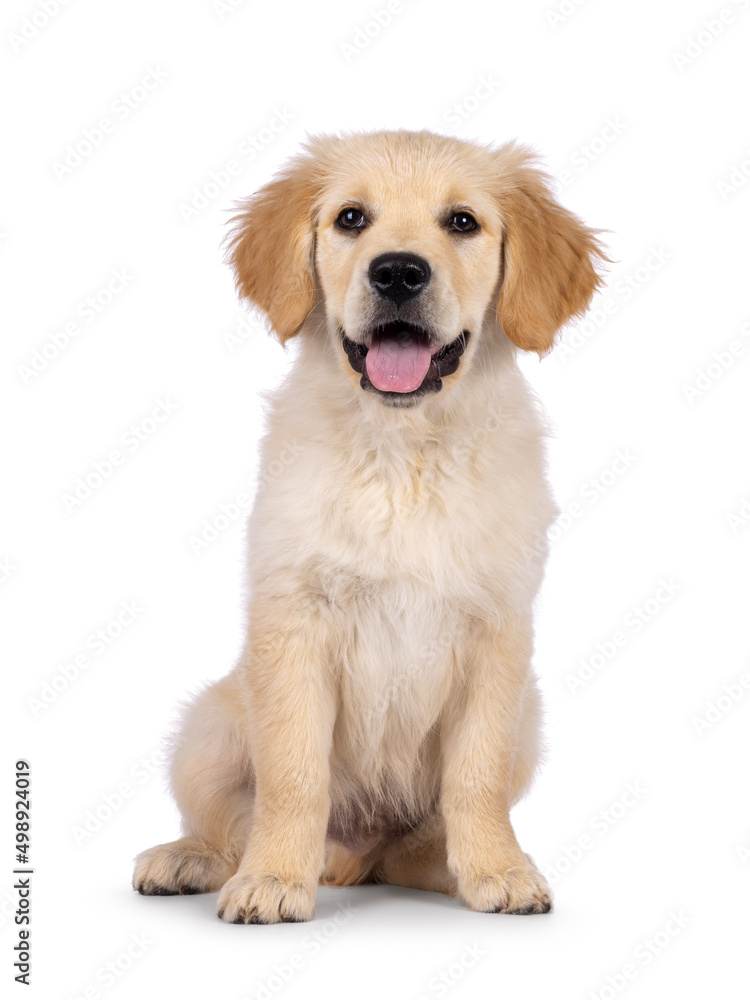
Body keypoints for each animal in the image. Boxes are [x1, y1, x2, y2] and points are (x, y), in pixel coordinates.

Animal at [132, 131, 608, 920]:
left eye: (463, 222)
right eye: (351, 218)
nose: (398, 271)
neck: (401, 450)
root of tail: (358, 857)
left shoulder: (498, 634)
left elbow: (475, 777)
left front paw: (498, 869)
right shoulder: (294, 620)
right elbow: (293, 777)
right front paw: (273, 880)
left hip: (528, 721)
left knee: (417, 842)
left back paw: (451, 865)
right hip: (210, 723)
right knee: (229, 822)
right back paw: (192, 858)